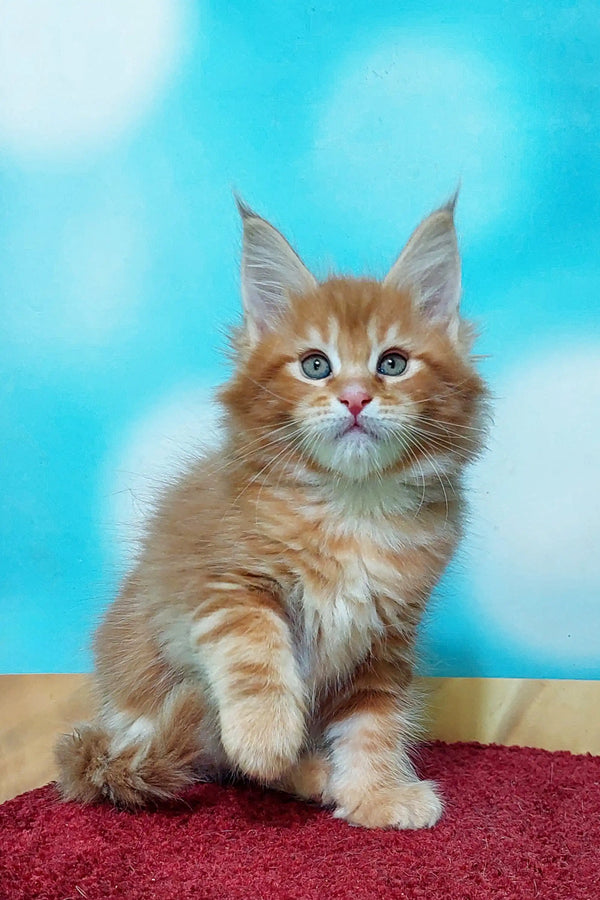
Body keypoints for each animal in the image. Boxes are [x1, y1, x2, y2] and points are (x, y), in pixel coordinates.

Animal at [56, 197, 488, 828]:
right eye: (315, 366)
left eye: (392, 364)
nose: (355, 397)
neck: (351, 507)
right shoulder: (226, 583)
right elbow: (256, 658)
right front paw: (266, 738)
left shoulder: (384, 637)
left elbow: (374, 722)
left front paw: (377, 793)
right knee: (214, 753)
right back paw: (297, 766)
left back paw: (319, 774)